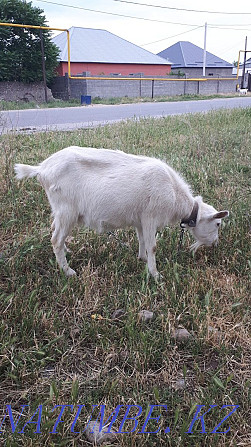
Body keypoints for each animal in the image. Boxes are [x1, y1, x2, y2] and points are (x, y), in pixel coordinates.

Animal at [14, 149, 228, 278]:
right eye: (217, 224)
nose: (215, 244)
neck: (174, 194)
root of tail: (41, 169)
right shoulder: (150, 217)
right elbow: (152, 247)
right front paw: (155, 274)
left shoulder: (141, 219)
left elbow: (142, 241)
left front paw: (142, 259)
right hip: (67, 210)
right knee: (56, 239)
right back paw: (68, 271)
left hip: (60, 210)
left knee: (55, 230)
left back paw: (66, 253)